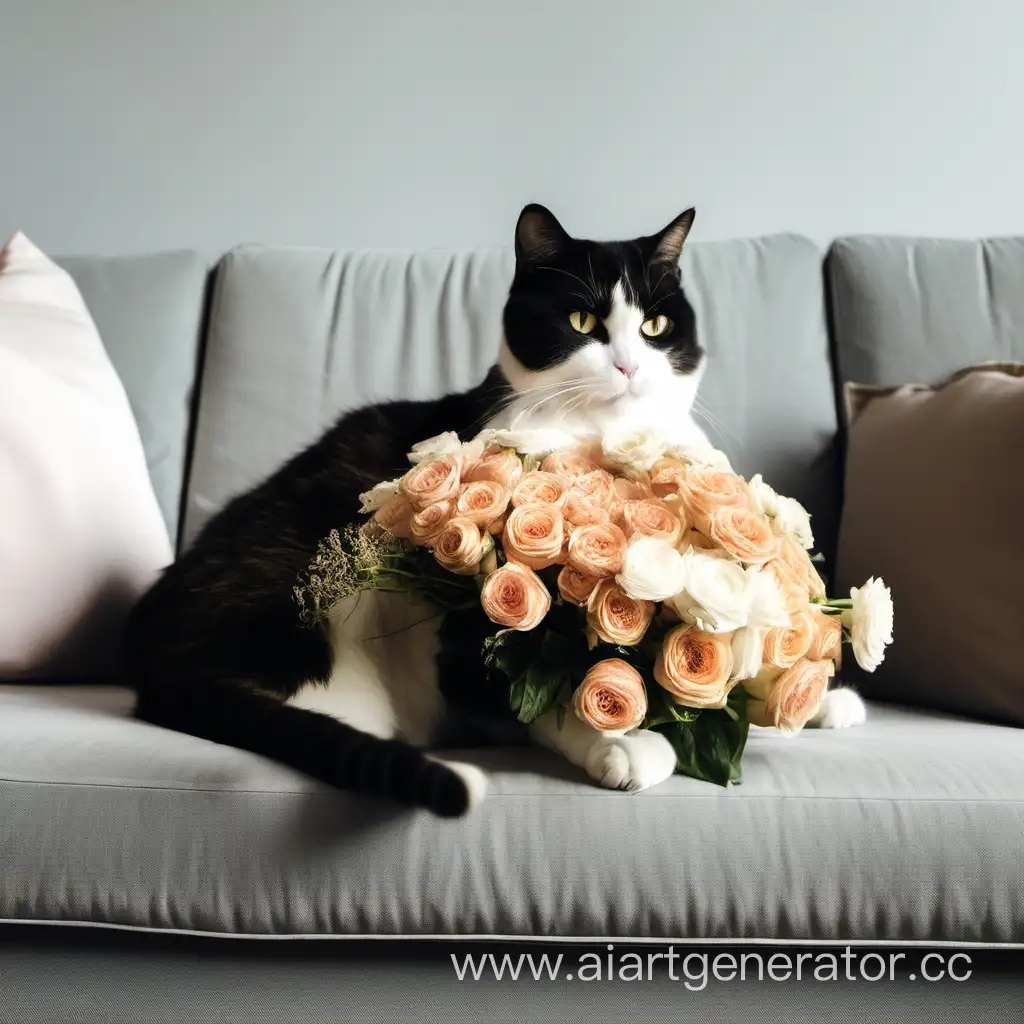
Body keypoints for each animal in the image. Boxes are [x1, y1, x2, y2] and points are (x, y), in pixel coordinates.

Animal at [128, 203, 864, 819]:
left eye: (654, 325)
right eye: (582, 322)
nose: (628, 366)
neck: (602, 437)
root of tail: (156, 661)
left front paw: (822, 702)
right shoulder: (464, 613)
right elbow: (527, 696)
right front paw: (623, 742)